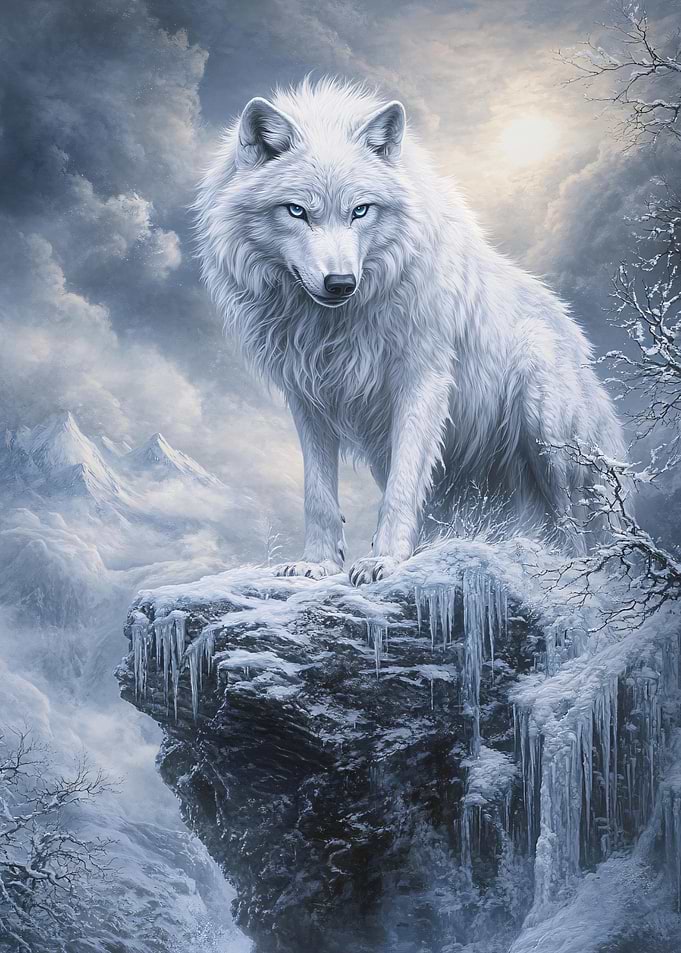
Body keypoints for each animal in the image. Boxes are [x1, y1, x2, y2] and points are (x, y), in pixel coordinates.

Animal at [195, 78, 624, 585]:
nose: (340, 283)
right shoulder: (307, 396)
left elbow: (401, 488)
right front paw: (318, 564)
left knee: (575, 528)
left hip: (547, 433)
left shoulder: (423, 381)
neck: (335, 324)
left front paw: (385, 560)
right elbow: (317, 494)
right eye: (296, 211)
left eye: (361, 210)